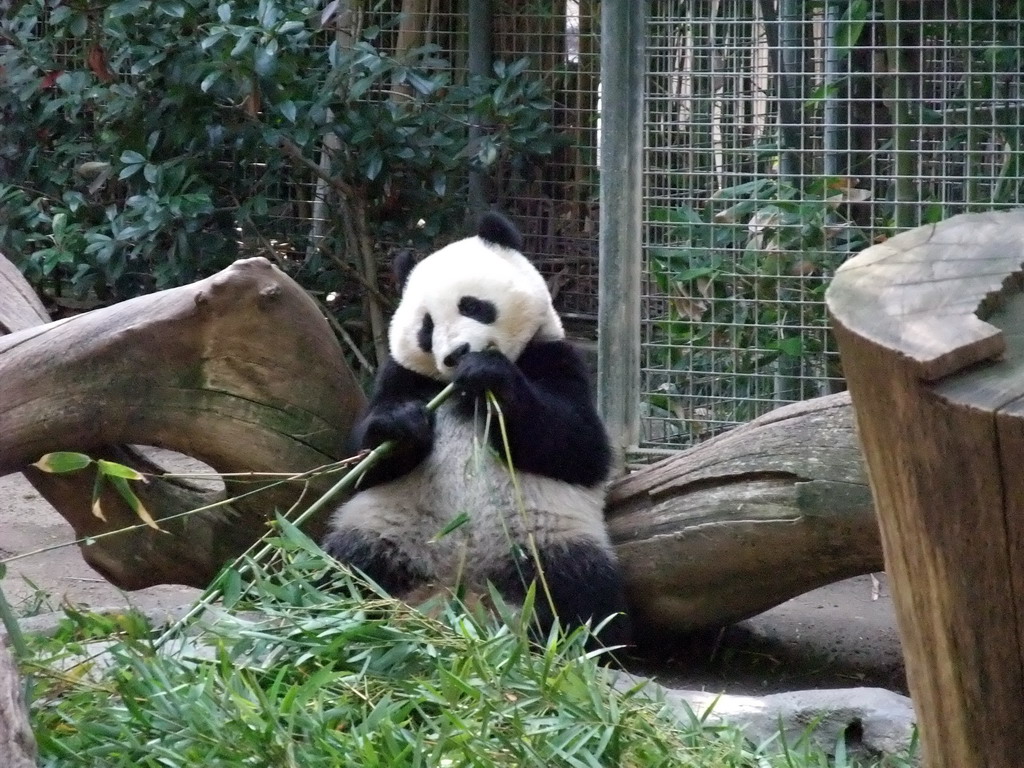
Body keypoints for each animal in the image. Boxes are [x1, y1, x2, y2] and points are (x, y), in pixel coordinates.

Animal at [323, 211, 626, 651]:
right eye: (426, 327)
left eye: (473, 306)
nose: (456, 355)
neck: (456, 390)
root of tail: (460, 591)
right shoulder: (400, 376)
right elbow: (360, 465)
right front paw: (401, 425)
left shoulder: (554, 356)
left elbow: (580, 447)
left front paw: (488, 375)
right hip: (382, 531)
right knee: (338, 568)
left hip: (547, 539)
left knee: (583, 592)